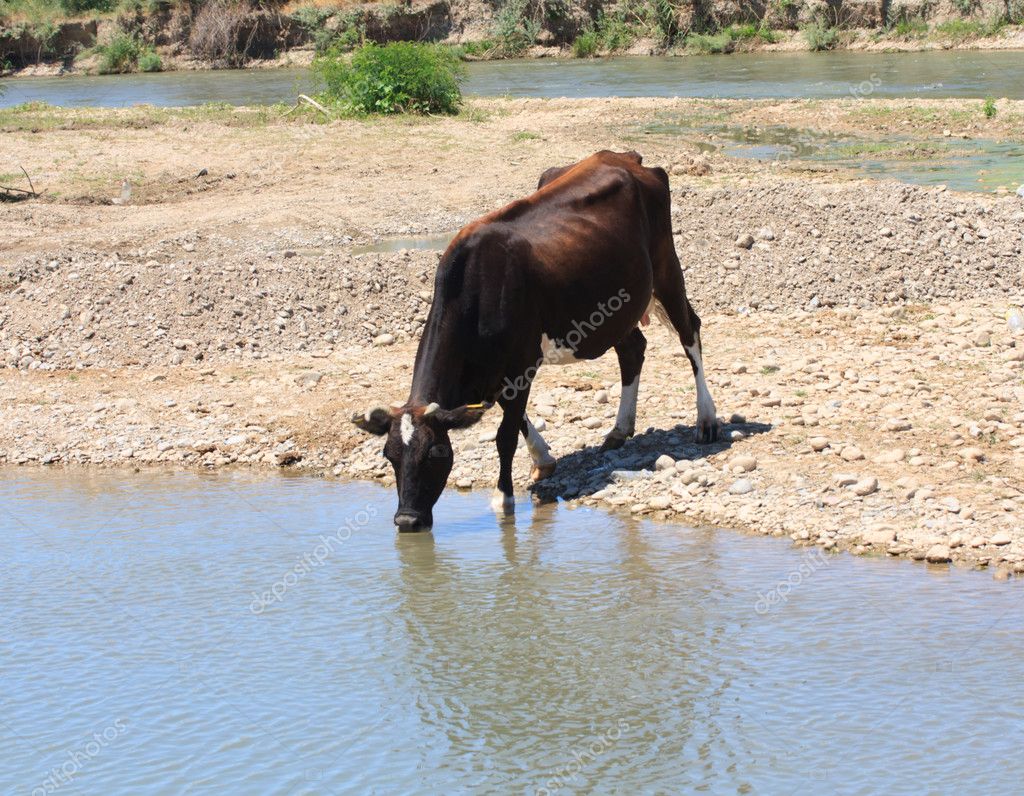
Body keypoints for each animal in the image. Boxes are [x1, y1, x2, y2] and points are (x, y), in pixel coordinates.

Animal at [353, 150, 718, 532]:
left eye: (436, 451)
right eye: (389, 455)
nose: (407, 519)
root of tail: (624, 157)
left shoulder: (521, 363)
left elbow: (506, 433)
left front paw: (504, 497)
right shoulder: (494, 372)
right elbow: (516, 418)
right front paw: (543, 460)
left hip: (666, 269)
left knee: (690, 332)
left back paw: (706, 420)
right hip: (617, 307)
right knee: (633, 350)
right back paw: (619, 430)